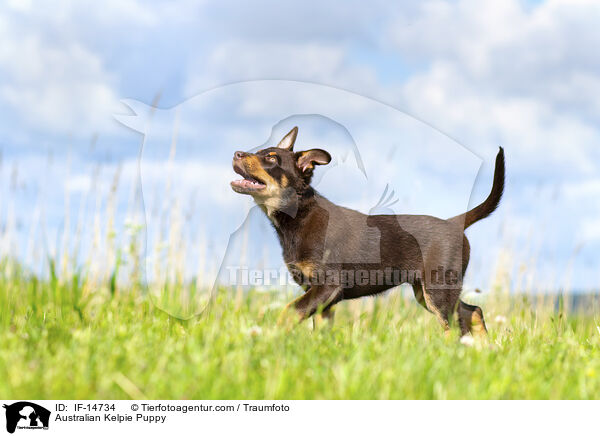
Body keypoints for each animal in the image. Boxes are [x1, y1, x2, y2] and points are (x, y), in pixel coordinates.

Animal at [232, 127, 504, 338]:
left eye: (271, 159)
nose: (236, 154)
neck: (299, 215)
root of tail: (454, 223)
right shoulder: (320, 297)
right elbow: (319, 328)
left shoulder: (328, 286)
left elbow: (289, 311)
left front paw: (269, 337)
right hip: (426, 291)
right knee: (472, 312)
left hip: (438, 289)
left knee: (456, 327)